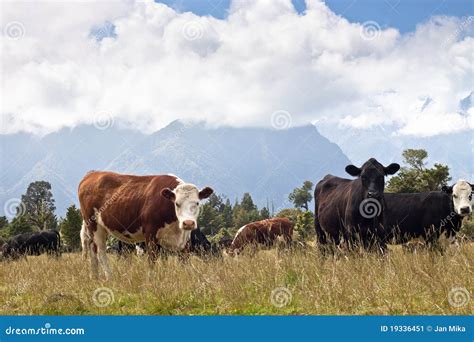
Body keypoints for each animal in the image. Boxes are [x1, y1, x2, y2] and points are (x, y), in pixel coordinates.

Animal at [77, 172, 213, 280]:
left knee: (93, 252)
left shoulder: (185, 240)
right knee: (100, 252)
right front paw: (151, 281)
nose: (188, 223)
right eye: (177, 203)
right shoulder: (150, 233)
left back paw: (95, 277)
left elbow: (184, 261)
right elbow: (152, 260)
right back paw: (109, 277)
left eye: (197, 203)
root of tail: (92, 173)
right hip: (94, 226)